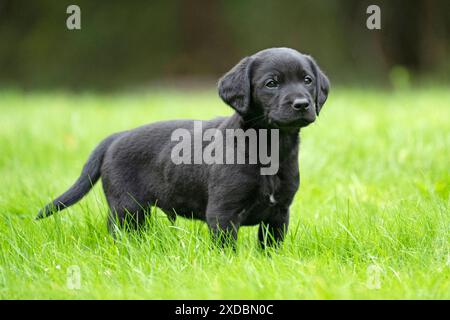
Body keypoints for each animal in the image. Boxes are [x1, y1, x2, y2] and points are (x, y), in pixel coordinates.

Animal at [36, 47, 330, 248]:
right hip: (126, 207)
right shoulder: (223, 213)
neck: (270, 146)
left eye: (307, 80)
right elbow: (226, 248)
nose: (302, 104)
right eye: (272, 83)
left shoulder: (279, 213)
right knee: (120, 231)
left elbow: (270, 248)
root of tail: (118, 136)